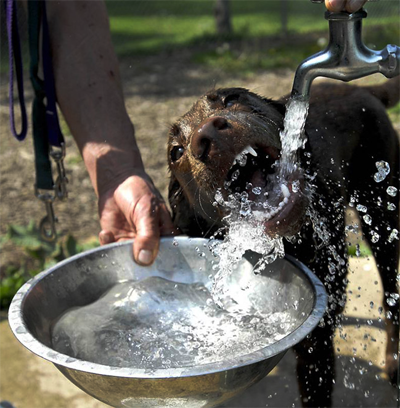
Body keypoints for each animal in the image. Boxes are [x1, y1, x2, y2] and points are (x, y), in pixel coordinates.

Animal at [166, 77, 400, 408]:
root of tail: (364, 88)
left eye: (231, 98)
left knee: (392, 295)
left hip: (380, 214)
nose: (207, 134)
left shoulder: (318, 339)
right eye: (175, 152)